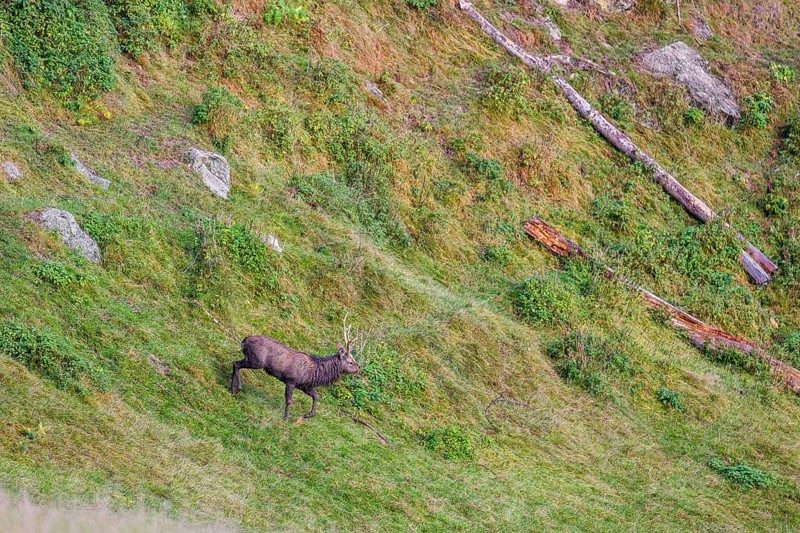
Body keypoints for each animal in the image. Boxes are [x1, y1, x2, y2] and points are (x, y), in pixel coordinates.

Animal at [230, 318, 360, 420]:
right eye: (351, 362)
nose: (358, 370)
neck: (314, 373)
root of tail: (244, 341)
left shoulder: (304, 386)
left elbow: (316, 395)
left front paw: (308, 415)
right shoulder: (291, 380)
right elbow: (289, 400)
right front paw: (286, 418)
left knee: (235, 363)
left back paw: (233, 389)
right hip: (255, 360)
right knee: (236, 364)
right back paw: (236, 388)